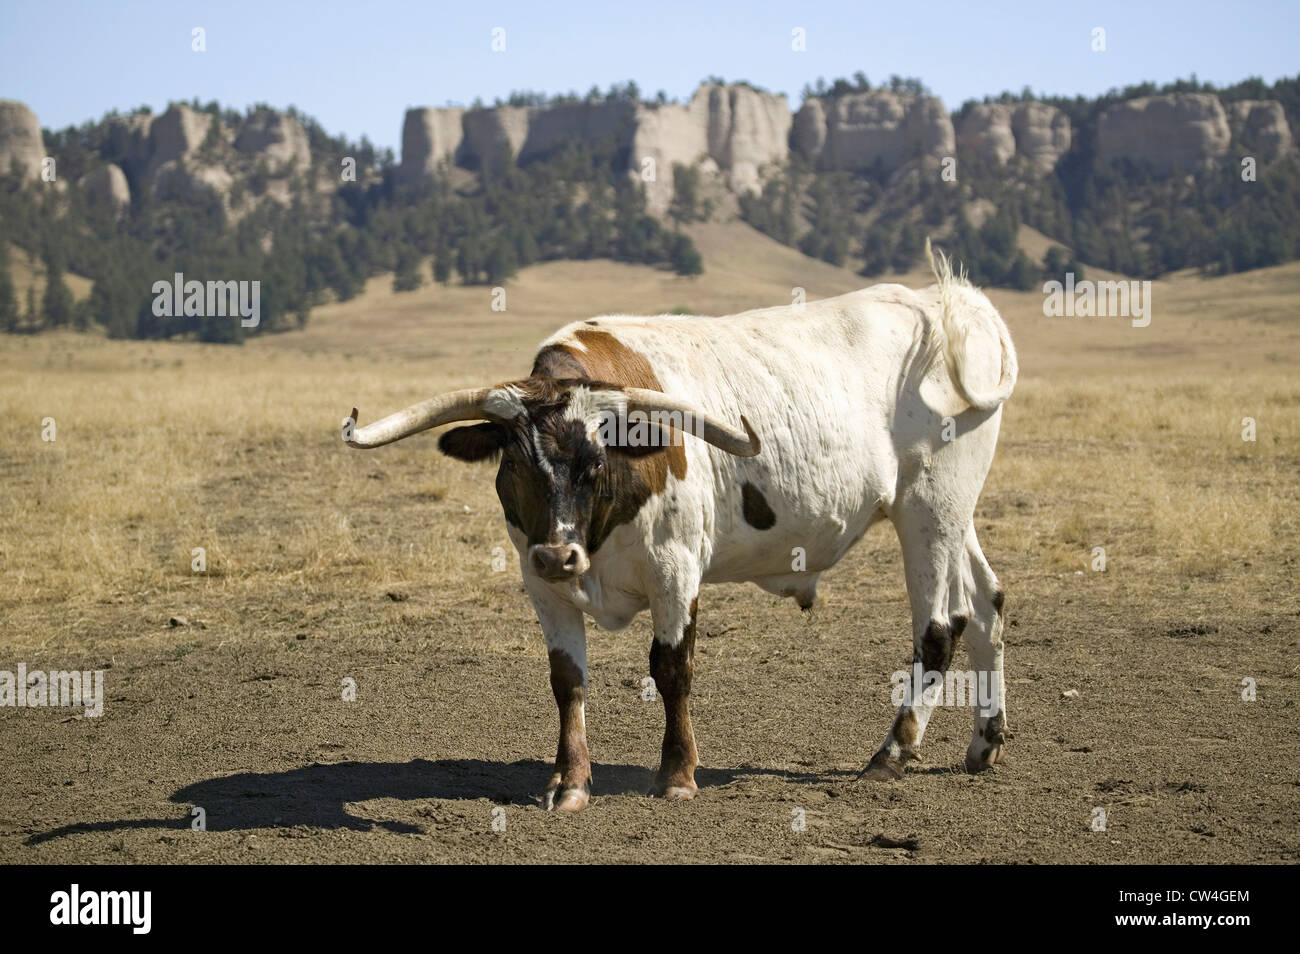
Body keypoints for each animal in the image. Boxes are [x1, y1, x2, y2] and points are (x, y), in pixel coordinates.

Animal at [343, 244, 1013, 816]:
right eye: (514, 464)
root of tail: (949, 306)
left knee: (938, 629)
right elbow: (567, 679)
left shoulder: (676, 567)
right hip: (956, 512)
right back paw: (985, 742)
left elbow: (671, 668)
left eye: (596, 464)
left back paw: (890, 755)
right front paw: (570, 781)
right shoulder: (540, 585)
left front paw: (678, 775)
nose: (560, 555)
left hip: (929, 509)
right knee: (985, 606)